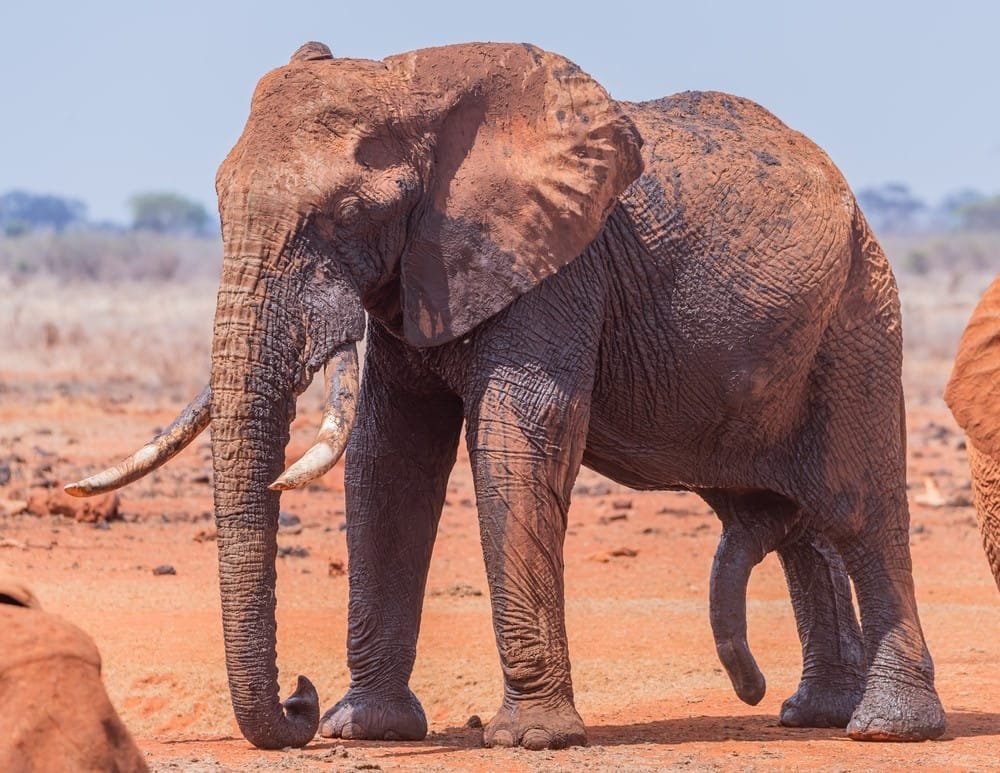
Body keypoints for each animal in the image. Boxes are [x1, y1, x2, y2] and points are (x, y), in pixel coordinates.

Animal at [66, 41, 944, 749]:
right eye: (218, 206)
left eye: (347, 214)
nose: (299, 698)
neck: (408, 81)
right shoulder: (421, 272)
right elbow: (390, 460)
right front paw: (365, 728)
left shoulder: (554, 267)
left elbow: (517, 435)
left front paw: (531, 738)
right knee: (798, 523)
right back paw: (812, 715)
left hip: (859, 317)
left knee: (857, 510)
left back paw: (886, 728)